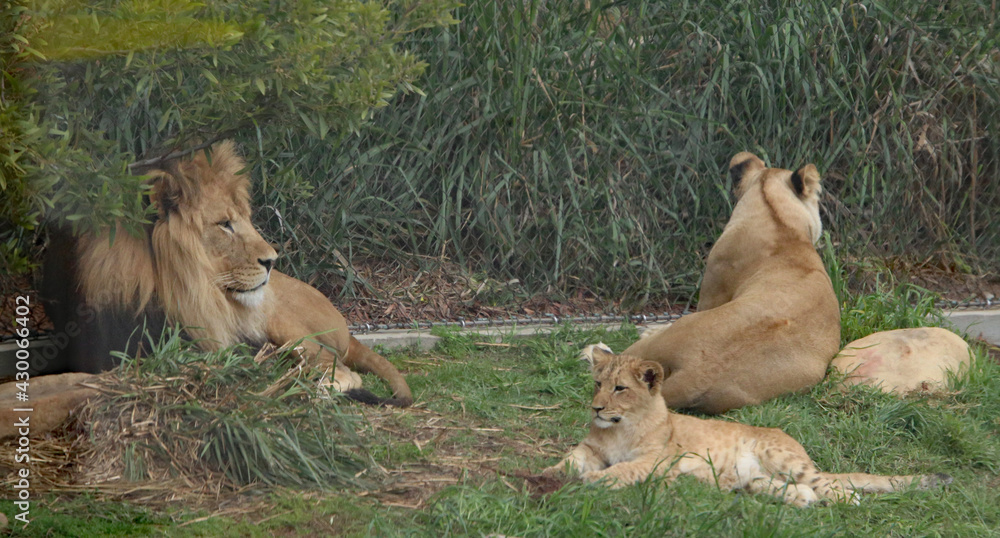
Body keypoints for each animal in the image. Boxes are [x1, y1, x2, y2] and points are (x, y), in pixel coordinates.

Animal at [41, 141, 411, 406]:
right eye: (224, 224)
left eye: (244, 219)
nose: (272, 260)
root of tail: (347, 328)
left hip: (287, 325)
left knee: (343, 372)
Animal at [543, 345, 952, 507]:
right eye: (597, 383)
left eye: (620, 389)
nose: (596, 407)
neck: (619, 427)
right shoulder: (591, 449)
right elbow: (570, 460)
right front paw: (549, 475)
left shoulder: (653, 461)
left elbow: (622, 470)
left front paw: (594, 481)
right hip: (754, 478)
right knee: (798, 489)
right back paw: (799, 500)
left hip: (779, 456)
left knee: (828, 483)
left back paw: (842, 499)